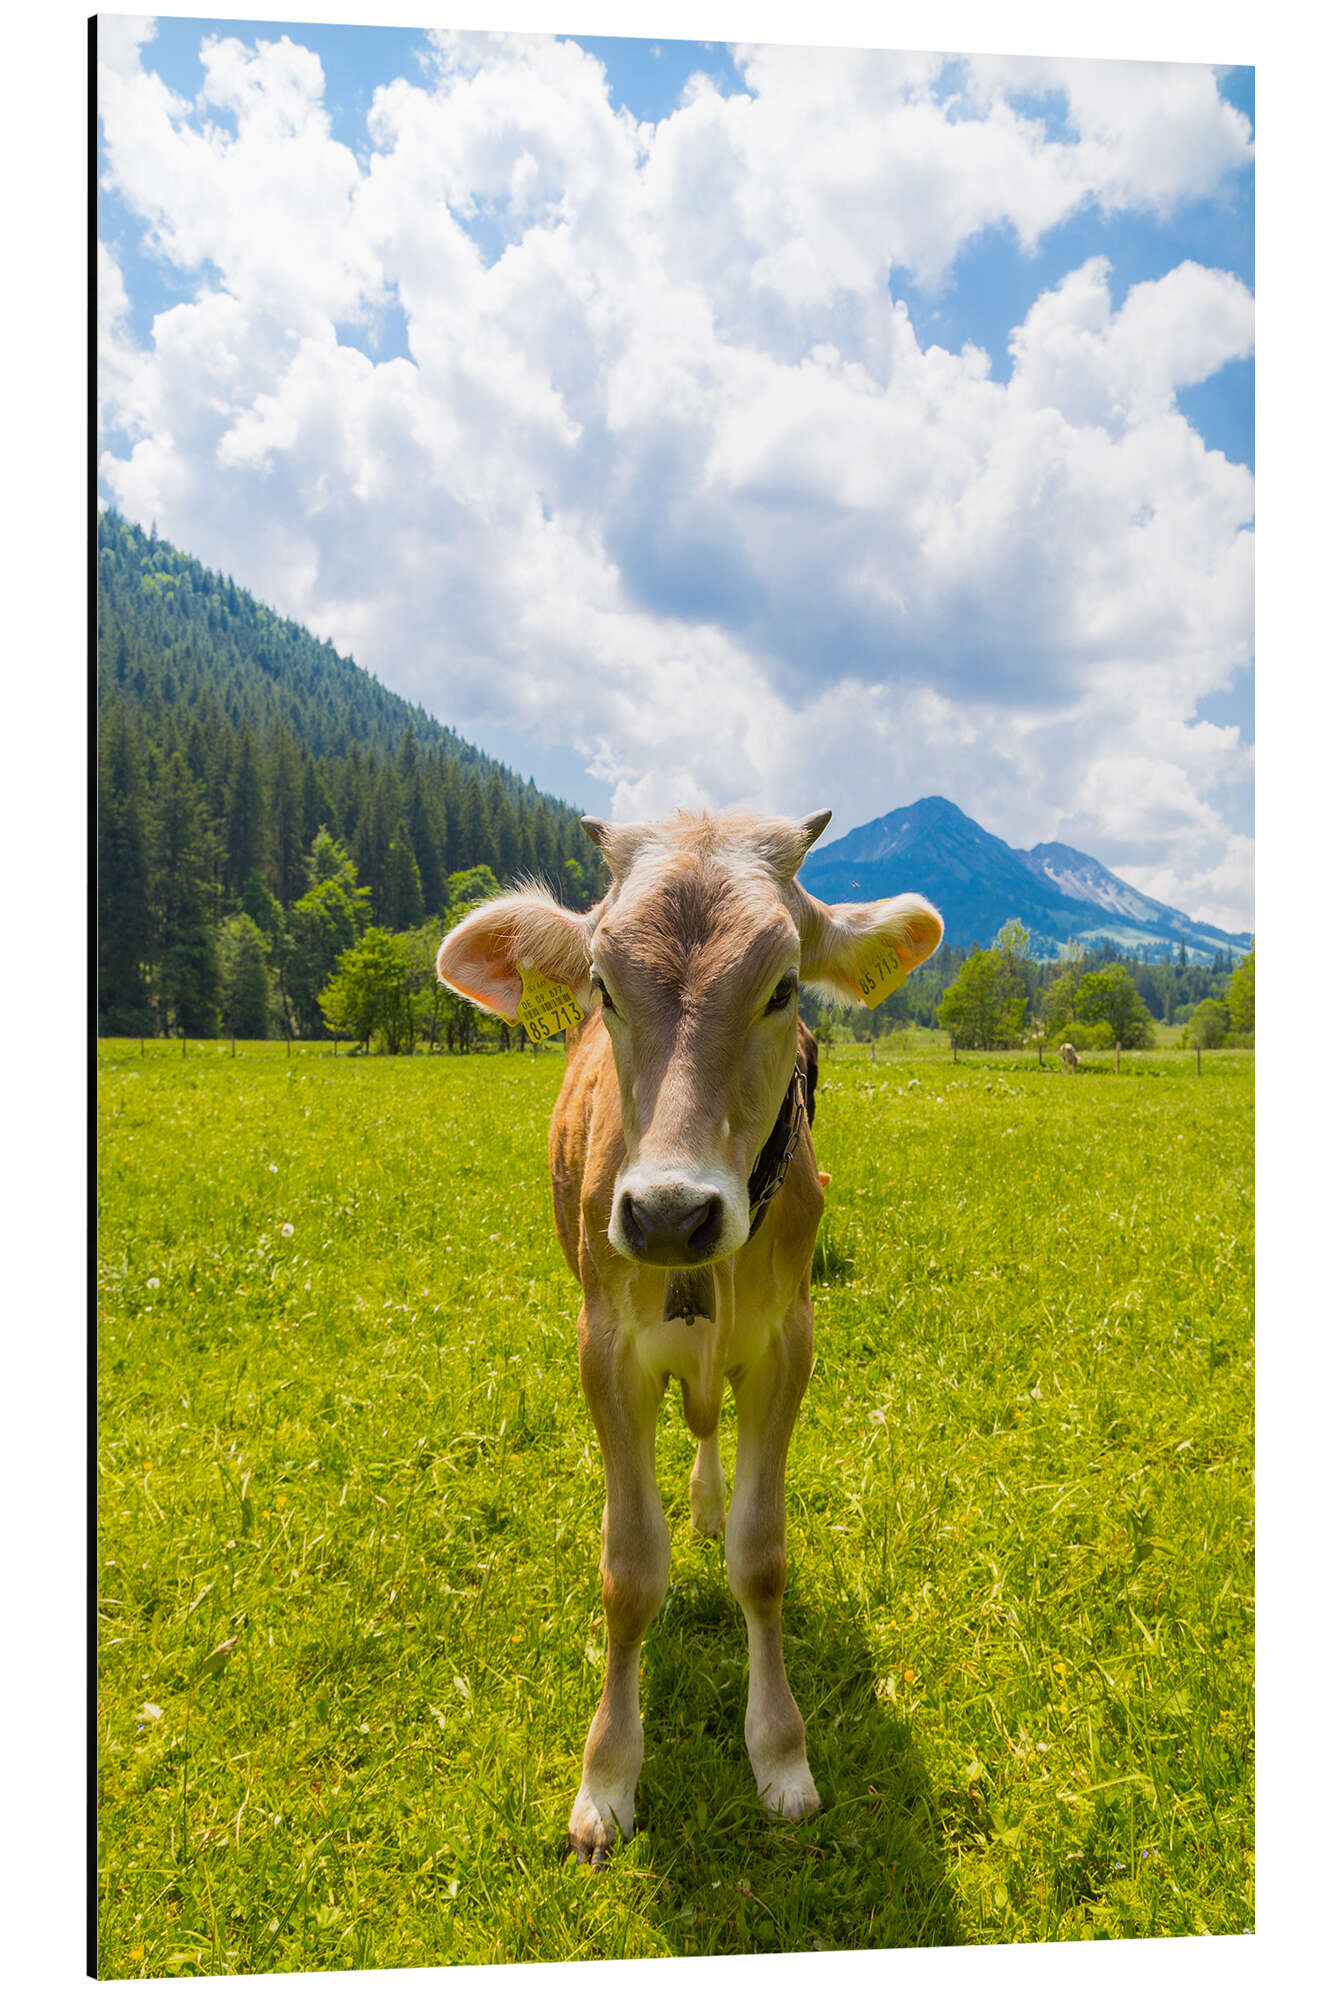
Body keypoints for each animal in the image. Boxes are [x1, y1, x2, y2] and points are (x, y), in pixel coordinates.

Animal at [436, 809, 943, 1866]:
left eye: (783, 987)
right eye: (601, 985)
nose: (670, 1212)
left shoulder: (788, 1342)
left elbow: (760, 1555)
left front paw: (780, 1755)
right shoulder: (604, 1350)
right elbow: (630, 1572)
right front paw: (606, 1778)